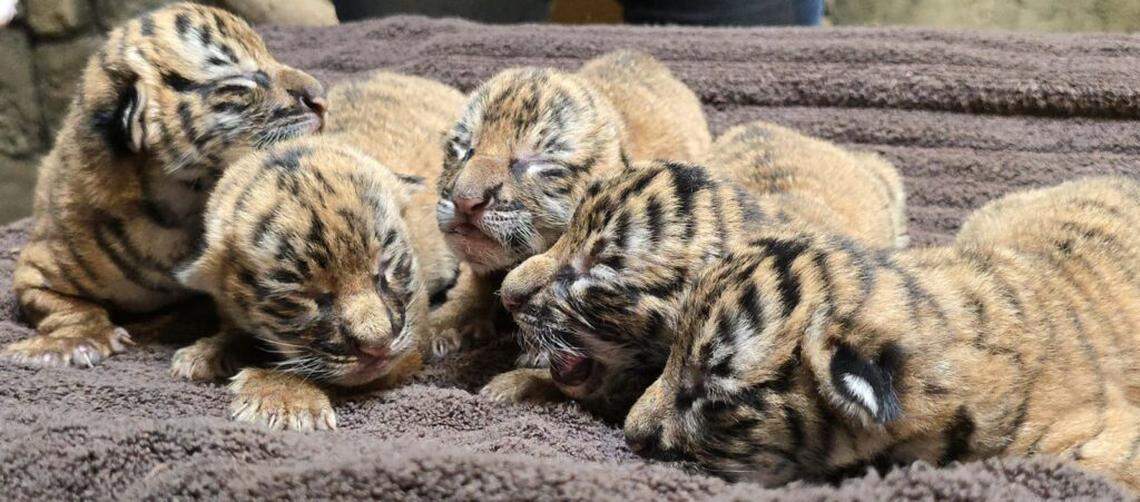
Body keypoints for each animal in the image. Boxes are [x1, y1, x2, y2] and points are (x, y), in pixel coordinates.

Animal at [1, 3, 325, 367]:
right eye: (243, 79)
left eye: (270, 55)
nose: (321, 97)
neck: (179, 209)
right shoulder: (35, 272)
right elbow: (68, 308)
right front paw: (80, 341)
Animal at [171, 73, 466, 430]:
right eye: (305, 296)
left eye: (384, 272)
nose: (378, 345)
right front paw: (203, 353)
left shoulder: (406, 345)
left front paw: (281, 397)